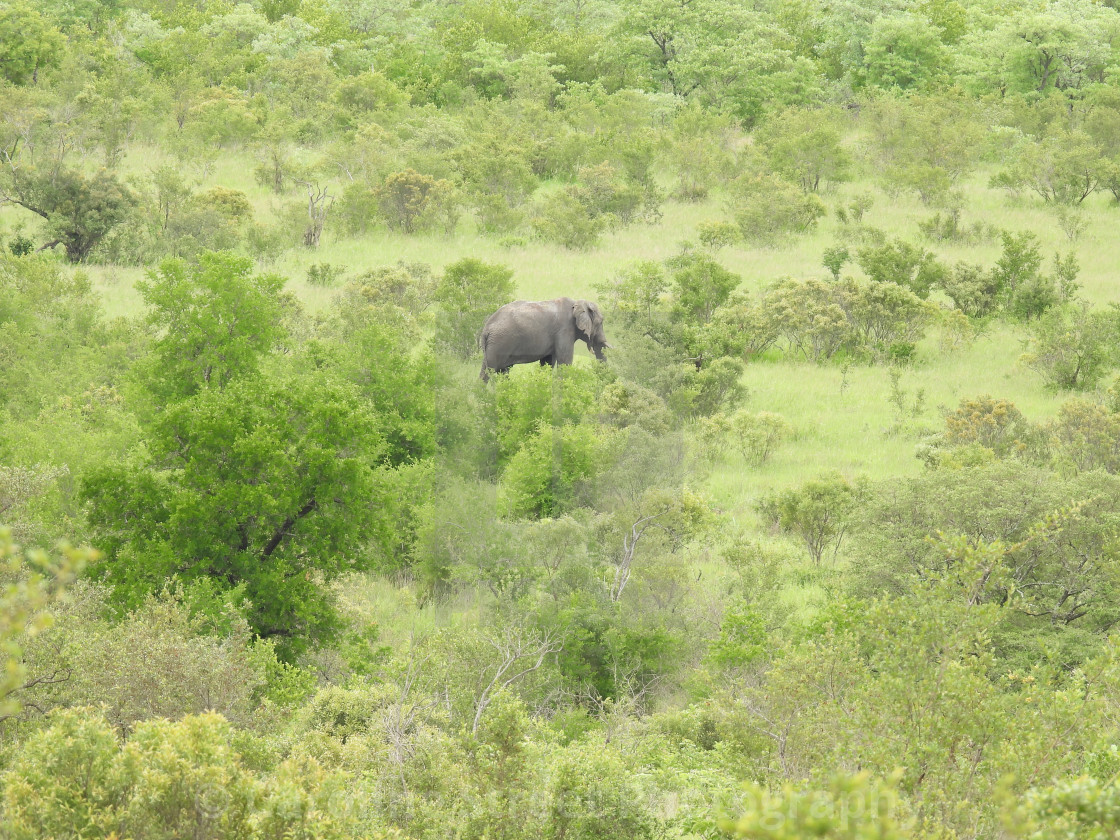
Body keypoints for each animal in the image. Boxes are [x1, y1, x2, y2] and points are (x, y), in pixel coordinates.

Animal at [477, 297, 609, 383]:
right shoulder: (564, 330)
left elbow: (547, 362)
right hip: (499, 342)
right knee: (489, 370)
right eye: (601, 322)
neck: (577, 302)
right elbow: (565, 362)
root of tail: (486, 329)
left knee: (500, 371)